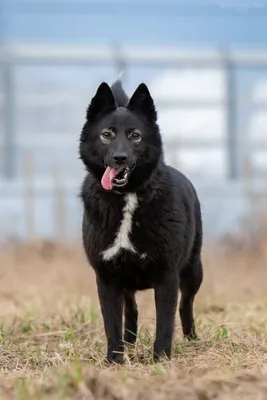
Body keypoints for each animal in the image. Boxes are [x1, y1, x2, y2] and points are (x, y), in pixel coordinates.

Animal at [80, 79, 204, 364]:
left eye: (135, 136)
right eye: (106, 134)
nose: (120, 158)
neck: (127, 198)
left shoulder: (167, 277)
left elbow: (165, 323)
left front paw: (161, 360)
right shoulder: (107, 278)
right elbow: (112, 324)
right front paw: (115, 360)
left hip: (193, 271)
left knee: (186, 305)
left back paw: (192, 339)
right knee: (132, 310)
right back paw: (130, 342)